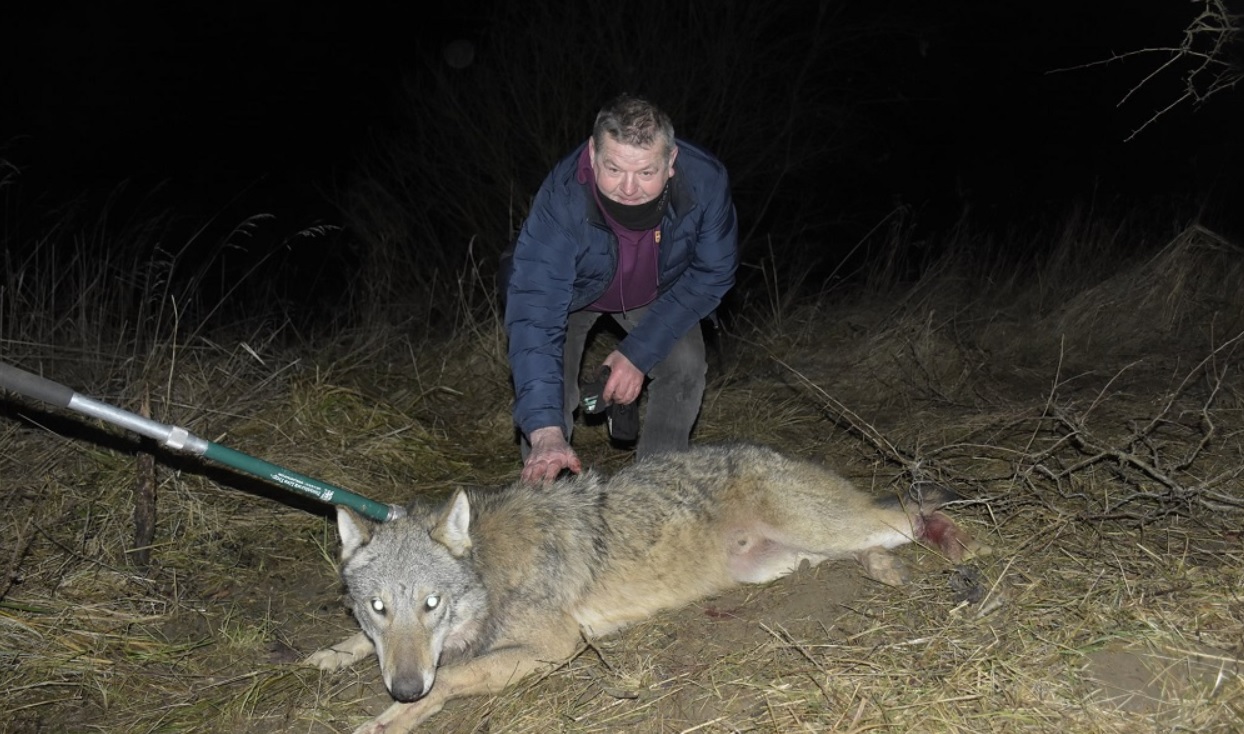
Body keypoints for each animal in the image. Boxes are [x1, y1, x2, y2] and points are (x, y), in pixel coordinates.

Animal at [306, 442, 975, 734]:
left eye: (432, 604)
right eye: (378, 608)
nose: (403, 687)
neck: (490, 573)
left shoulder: (556, 647)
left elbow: (450, 676)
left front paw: (392, 717)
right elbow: (363, 647)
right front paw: (327, 658)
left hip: (829, 526)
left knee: (916, 510)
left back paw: (961, 543)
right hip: (787, 560)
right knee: (875, 539)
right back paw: (884, 568)